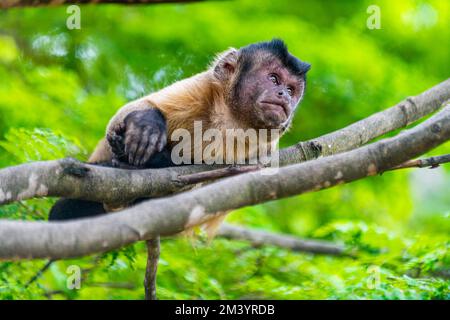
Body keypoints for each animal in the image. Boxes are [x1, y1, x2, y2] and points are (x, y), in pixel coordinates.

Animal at [48, 38, 310, 222]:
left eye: (291, 89)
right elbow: (129, 113)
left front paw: (156, 159)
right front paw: (146, 125)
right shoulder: (200, 88)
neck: (229, 121)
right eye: (274, 79)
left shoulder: (265, 149)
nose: (284, 95)